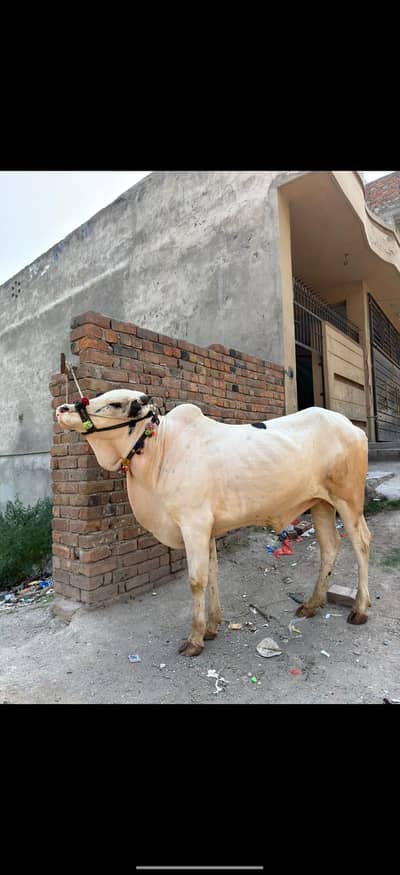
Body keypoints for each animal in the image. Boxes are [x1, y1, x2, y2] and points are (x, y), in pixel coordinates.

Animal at [56, 389, 371, 656]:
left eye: (115, 404)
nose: (62, 409)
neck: (160, 449)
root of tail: (352, 427)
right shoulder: (207, 529)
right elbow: (212, 574)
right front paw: (211, 627)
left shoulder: (193, 525)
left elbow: (197, 581)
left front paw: (195, 638)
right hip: (320, 504)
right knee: (329, 547)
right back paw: (311, 604)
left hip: (348, 500)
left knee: (362, 544)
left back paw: (360, 609)